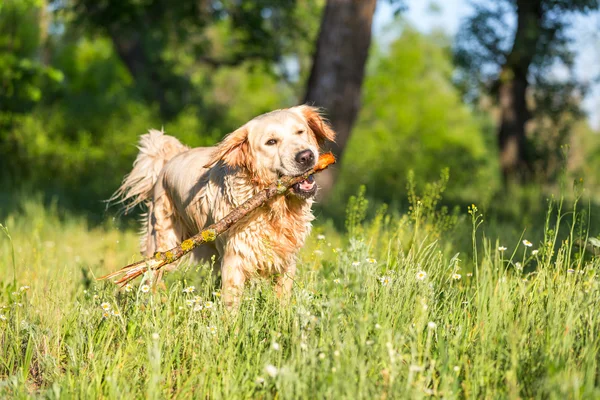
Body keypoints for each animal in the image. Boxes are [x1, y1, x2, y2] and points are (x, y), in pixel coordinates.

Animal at [112, 104, 336, 308]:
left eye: (300, 131)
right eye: (271, 142)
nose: (306, 156)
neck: (273, 208)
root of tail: (169, 161)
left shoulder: (287, 261)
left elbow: (282, 302)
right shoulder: (234, 261)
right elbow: (231, 311)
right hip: (163, 243)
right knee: (151, 278)